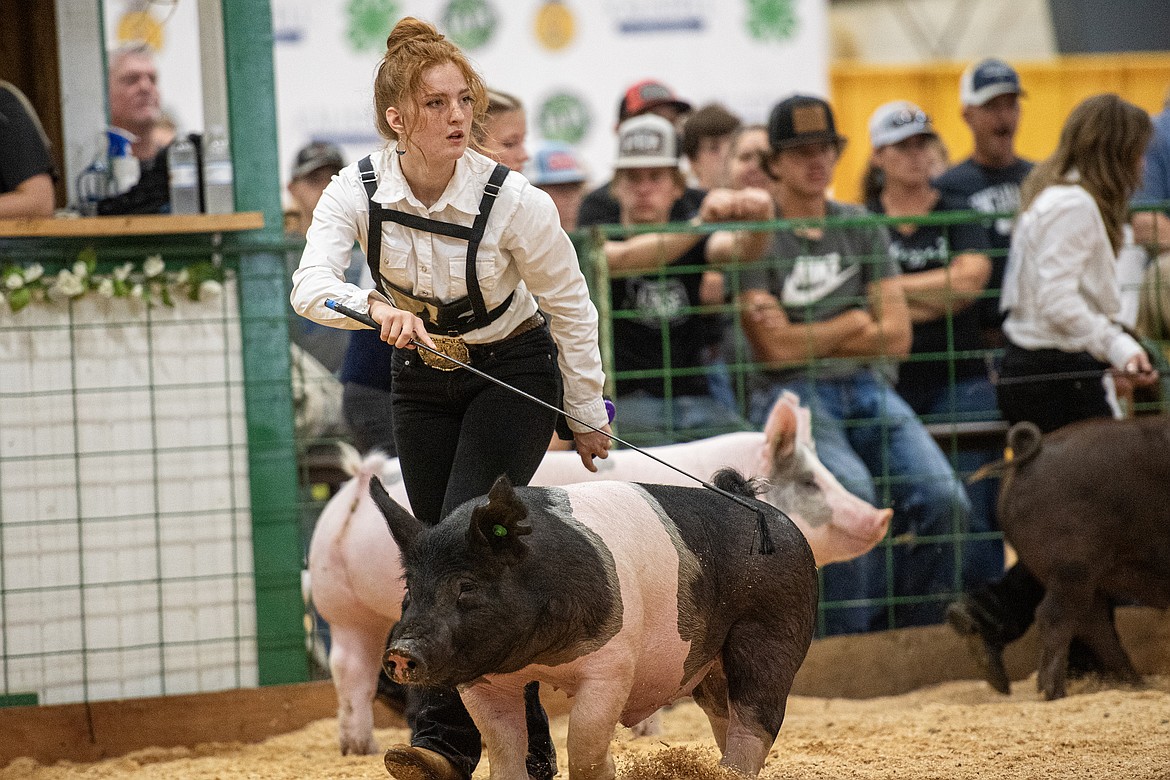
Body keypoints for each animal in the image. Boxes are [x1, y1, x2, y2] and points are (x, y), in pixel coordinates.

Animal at [987, 418, 1170, 696]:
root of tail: (1031, 452)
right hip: (1072, 567)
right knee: (1057, 617)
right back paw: (1054, 693)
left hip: (1084, 576)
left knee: (1093, 623)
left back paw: (1135, 685)